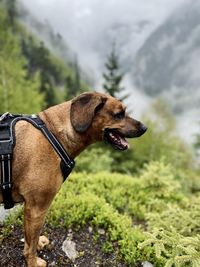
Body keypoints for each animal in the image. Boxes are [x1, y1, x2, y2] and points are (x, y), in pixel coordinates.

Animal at [0, 92, 147, 267]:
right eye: (119, 114)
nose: (145, 128)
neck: (54, 134)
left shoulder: (31, 209)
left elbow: (31, 240)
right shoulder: (37, 208)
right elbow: (31, 245)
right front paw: (33, 261)